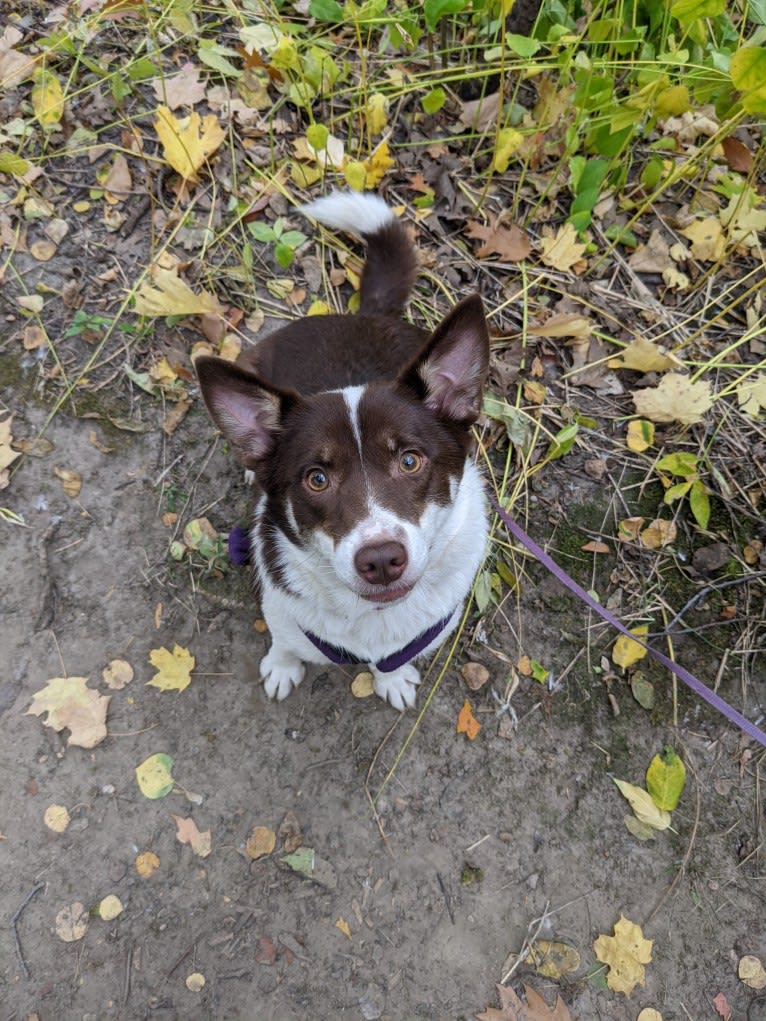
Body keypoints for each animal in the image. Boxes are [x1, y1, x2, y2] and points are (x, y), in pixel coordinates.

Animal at [195, 191, 488, 710]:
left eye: (410, 460)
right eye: (317, 478)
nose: (381, 560)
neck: (371, 620)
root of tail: (367, 314)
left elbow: (395, 660)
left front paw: (392, 678)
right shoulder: (280, 605)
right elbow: (285, 638)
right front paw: (282, 667)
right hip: (251, 359)